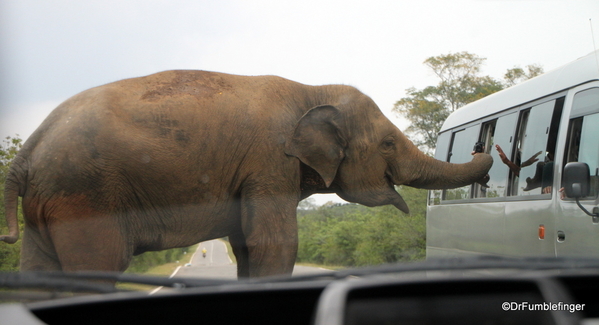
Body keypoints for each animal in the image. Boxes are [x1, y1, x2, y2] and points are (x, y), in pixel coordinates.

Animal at [0, 70, 492, 276]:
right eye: (388, 143)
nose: (489, 147)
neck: (310, 90)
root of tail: (25, 153)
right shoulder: (270, 162)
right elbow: (273, 244)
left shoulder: (255, 172)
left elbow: (247, 246)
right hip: (85, 195)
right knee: (98, 265)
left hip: (52, 200)